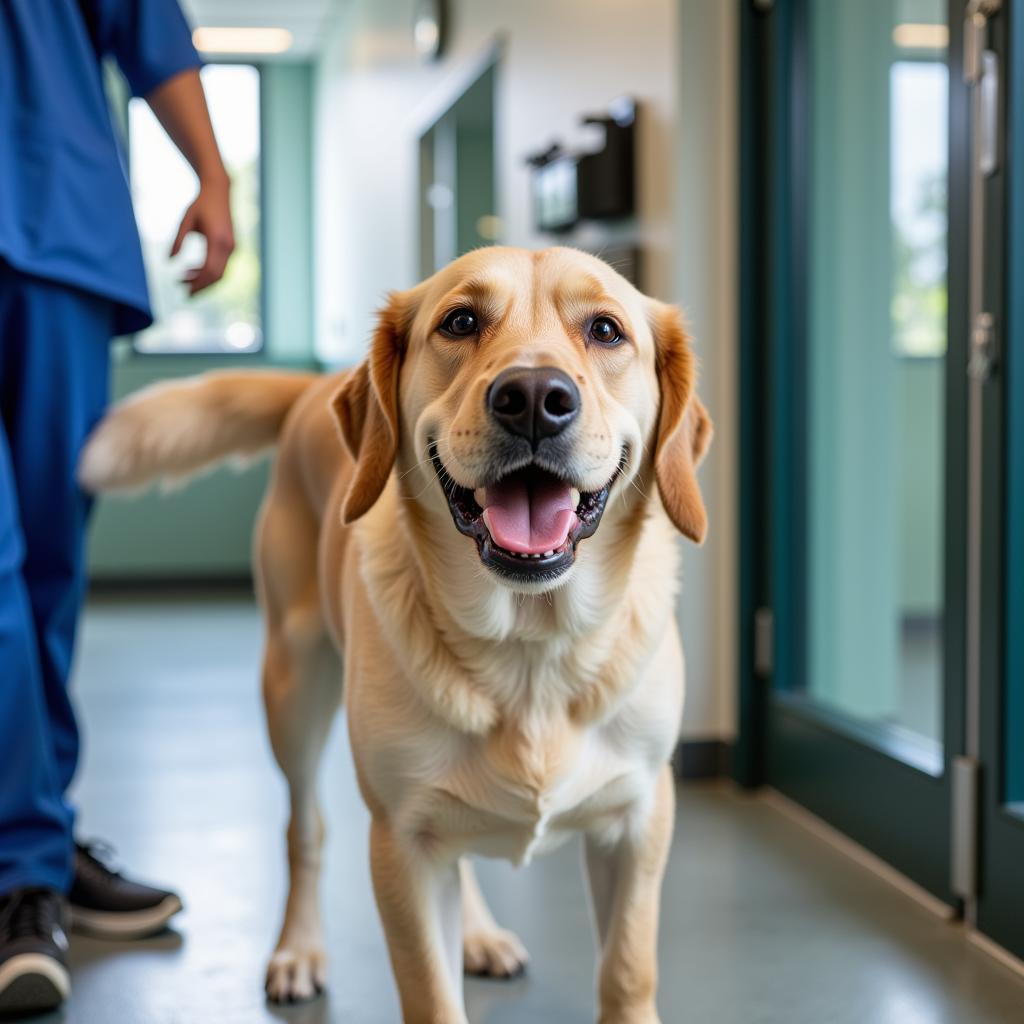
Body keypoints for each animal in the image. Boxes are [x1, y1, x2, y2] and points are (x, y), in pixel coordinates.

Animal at [79, 243, 712, 1019]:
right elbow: (429, 991)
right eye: (461, 321)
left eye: (605, 330)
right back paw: (298, 950)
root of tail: (313, 387)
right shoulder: (401, 842)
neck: (530, 648)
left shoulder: (639, 822)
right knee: (304, 833)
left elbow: (626, 971)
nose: (534, 396)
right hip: (292, 690)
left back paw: (477, 935)